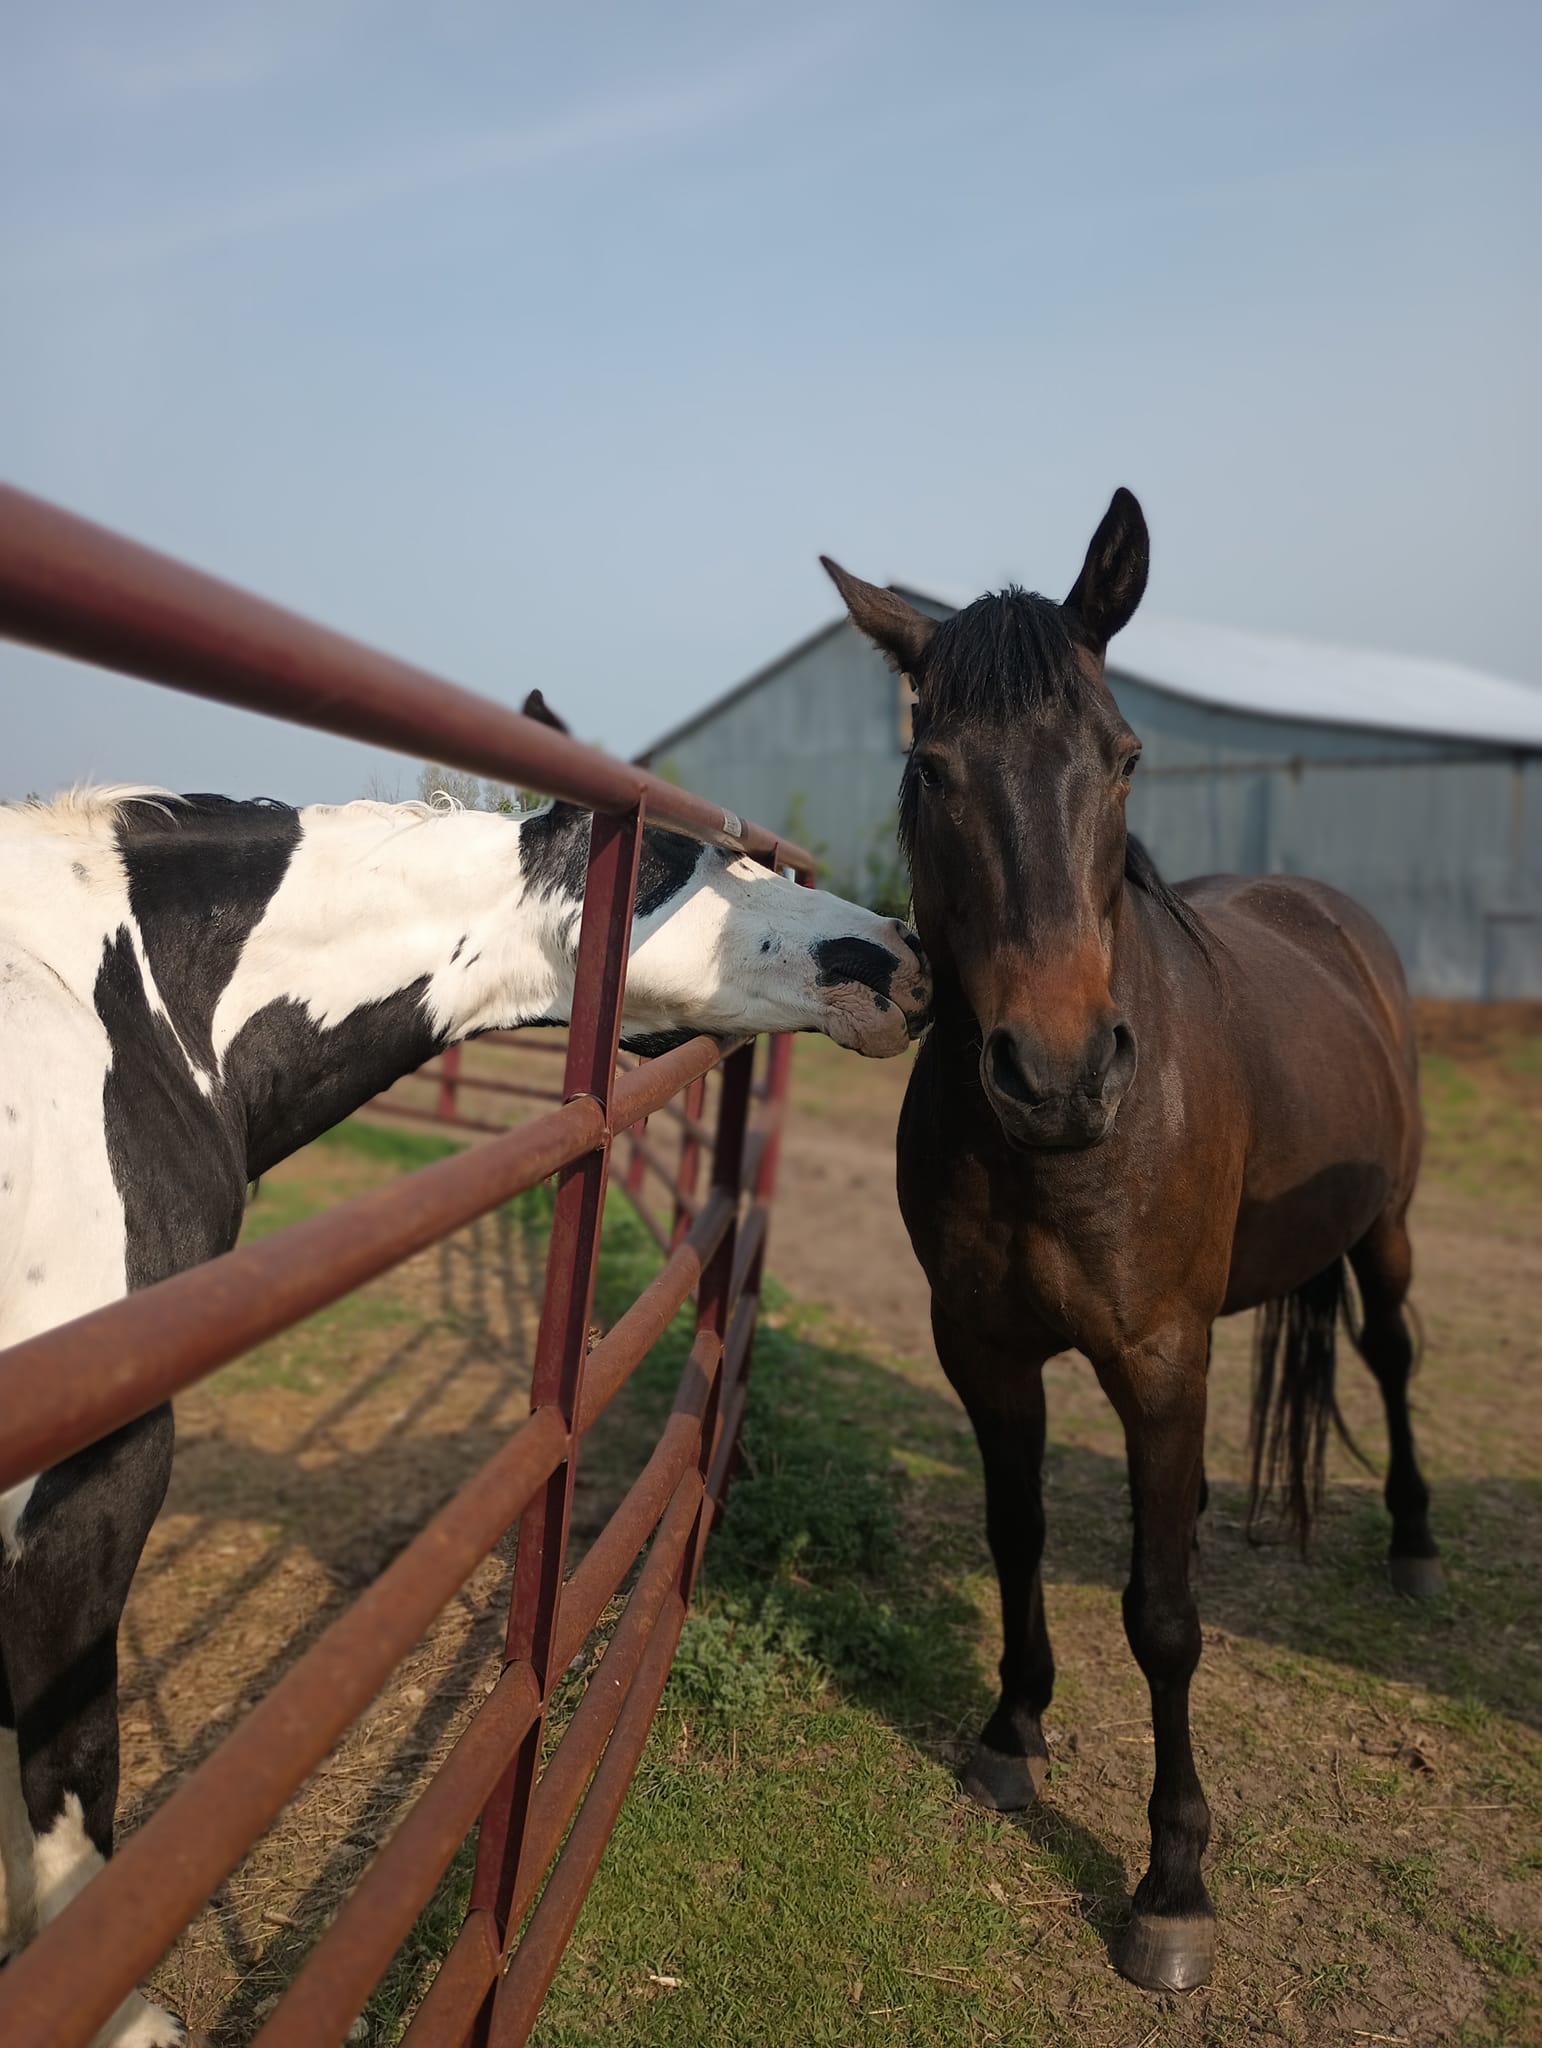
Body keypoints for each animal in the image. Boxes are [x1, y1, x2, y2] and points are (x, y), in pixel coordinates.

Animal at [0, 762, 929, 2047]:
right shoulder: (89, 1479)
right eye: (690, 865)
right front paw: (116, 2011)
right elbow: (69, 1760)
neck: (140, 1009)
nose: (900, 957)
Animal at [822, 489, 1435, 1994]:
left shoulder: (1156, 1355)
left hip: (1384, 1229)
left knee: (1391, 1357)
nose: (1053, 1074)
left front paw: (1171, 1884)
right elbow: (1017, 1532)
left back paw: (1411, 1540)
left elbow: (1162, 1618)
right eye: (931, 769)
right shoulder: (982, 1349)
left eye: (1124, 759)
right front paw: (1009, 1734)